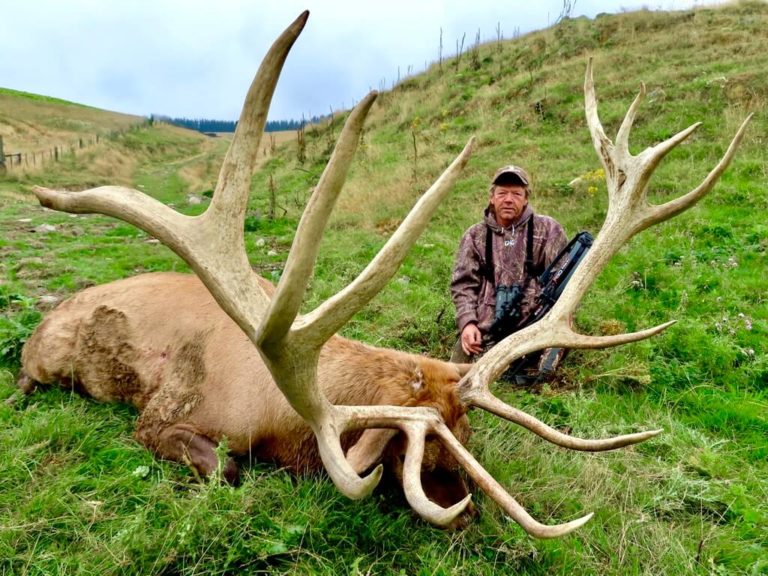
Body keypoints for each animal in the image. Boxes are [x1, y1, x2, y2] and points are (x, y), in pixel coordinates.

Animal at [18, 11, 750, 538]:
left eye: (467, 439)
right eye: (418, 459)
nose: (469, 514)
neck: (281, 414)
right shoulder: (161, 417)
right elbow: (224, 466)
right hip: (46, 357)